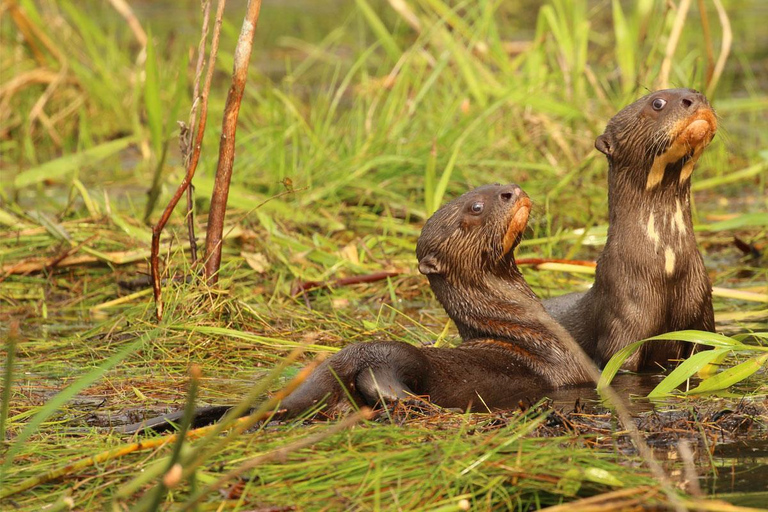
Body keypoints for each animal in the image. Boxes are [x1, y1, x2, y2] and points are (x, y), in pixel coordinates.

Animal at [544, 89, 716, 372]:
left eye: (697, 92)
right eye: (657, 103)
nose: (695, 99)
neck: (666, 265)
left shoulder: (702, 318)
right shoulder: (623, 327)